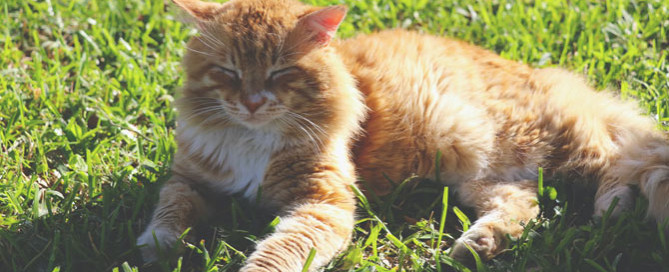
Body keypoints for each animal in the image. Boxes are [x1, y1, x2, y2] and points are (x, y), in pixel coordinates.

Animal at [136, 0, 668, 268]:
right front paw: (155, 244)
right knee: (527, 206)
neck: (252, 139)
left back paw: (611, 210)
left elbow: (278, 251)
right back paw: (479, 245)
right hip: (478, 176)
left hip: (551, 149)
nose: (250, 102)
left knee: (620, 161)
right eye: (227, 71)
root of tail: (548, 76)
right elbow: (169, 207)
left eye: (280, 73)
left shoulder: (321, 204)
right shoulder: (192, 179)